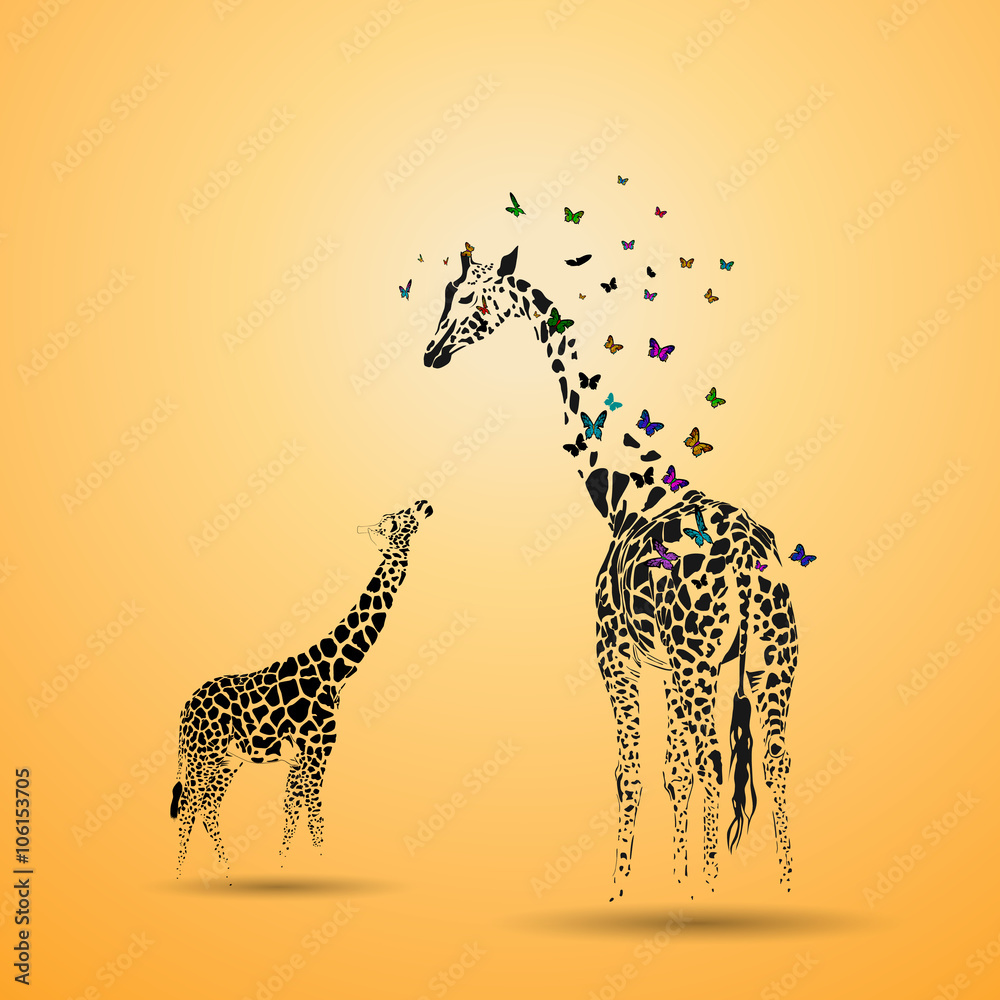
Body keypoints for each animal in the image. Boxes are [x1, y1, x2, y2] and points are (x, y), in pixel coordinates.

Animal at [170, 500, 433, 877]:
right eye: (395, 520)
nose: (424, 504)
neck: (336, 671)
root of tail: (185, 706)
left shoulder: (300, 760)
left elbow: (293, 813)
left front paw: (283, 867)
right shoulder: (315, 753)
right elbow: (315, 817)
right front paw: (321, 864)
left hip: (227, 759)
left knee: (208, 806)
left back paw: (225, 867)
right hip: (201, 752)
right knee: (190, 806)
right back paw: (183, 871)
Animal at [424, 247, 796, 898]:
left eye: (468, 299)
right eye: (446, 293)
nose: (431, 352)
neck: (625, 495)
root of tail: (750, 566)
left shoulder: (616, 653)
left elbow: (637, 774)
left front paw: (631, 889)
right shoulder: (668, 665)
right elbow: (681, 770)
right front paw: (683, 882)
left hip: (705, 662)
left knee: (710, 758)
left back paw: (712, 889)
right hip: (770, 660)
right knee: (771, 761)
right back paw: (785, 885)